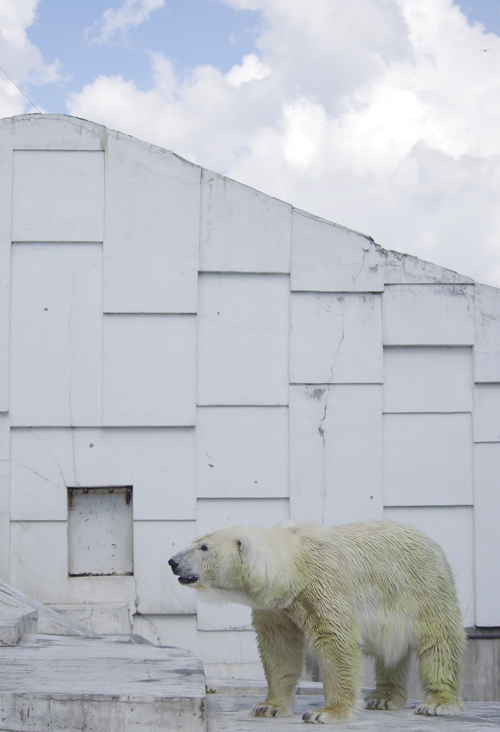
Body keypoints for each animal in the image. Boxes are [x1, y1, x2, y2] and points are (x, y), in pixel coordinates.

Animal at [169, 520, 464, 728]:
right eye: (196, 541)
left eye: (204, 548)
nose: (173, 562)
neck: (296, 565)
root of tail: (430, 541)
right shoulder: (277, 608)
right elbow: (279, 647)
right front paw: (268, 707)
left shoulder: (324, 586)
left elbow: (336, 642)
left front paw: (326, 713)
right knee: (392, 652)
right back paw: (383, 698)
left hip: (423, 586)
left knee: (438, 641)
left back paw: (436, 703)